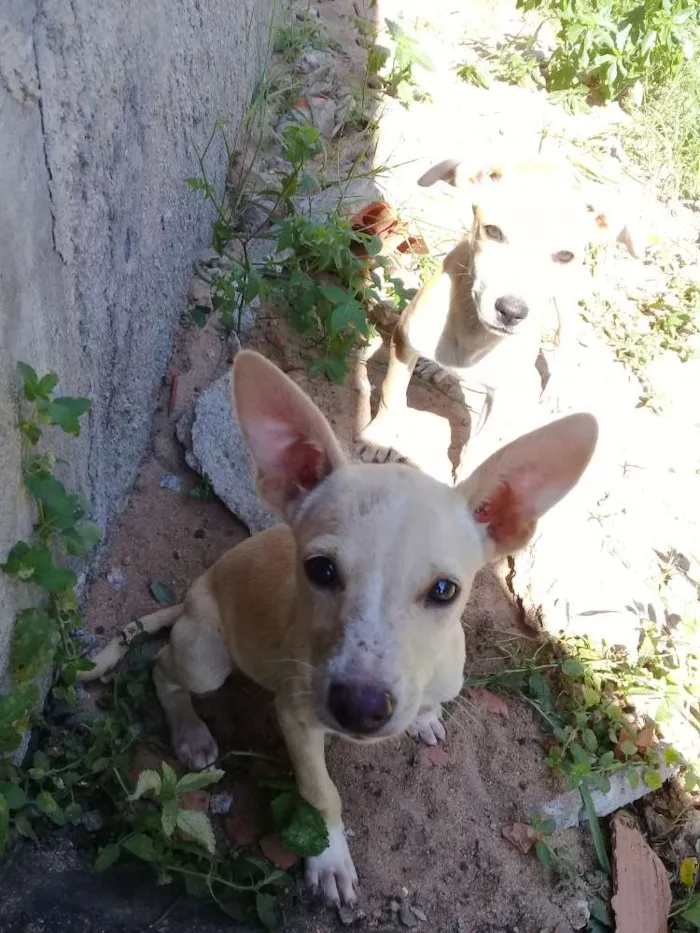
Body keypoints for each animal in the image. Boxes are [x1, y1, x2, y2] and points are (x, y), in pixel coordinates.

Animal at [80, 348, 596, 904]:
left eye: (444, 590)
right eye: (321, 570)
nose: (361, 709)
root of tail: (194, 592)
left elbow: (426, 705)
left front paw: (424, 718)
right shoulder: (296, 715)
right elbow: (320, 792)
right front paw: (328, 857)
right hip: (206, 656)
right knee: (163, 668)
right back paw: (191, 732)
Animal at [358, 158, 636, 474]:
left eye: (564, 255)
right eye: (493, 232)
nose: (511, 311)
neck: (475, 332)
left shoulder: (500, 396)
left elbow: (477, 446)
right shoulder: (403, 342)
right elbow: (392, 395)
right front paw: (378, 439)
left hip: (566, 302)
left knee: (564, 341)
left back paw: (555, 389)